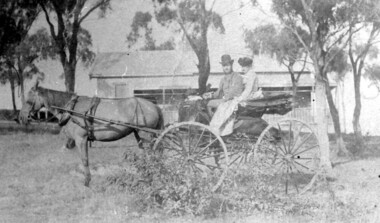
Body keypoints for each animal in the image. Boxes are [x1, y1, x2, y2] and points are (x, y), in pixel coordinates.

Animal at [19, 82, 164, 186]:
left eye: (28, 100)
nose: (21, 117)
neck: (71, 110)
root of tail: (155, 106)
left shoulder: (81, 139)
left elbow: (85, 160)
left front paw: (87, 181)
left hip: (147, 135)